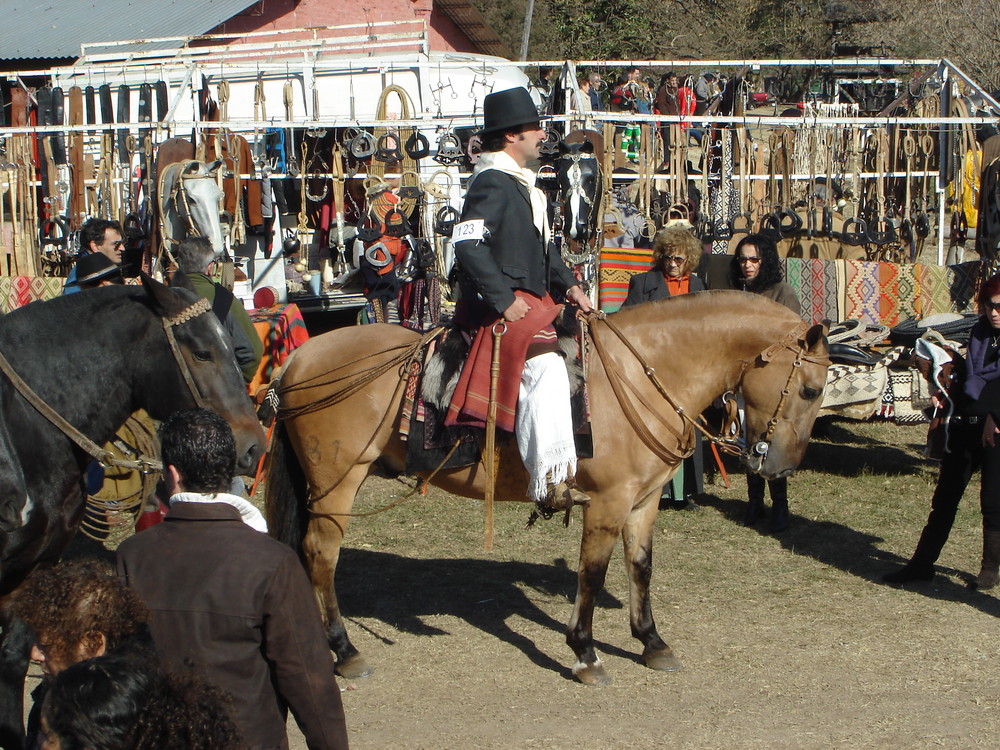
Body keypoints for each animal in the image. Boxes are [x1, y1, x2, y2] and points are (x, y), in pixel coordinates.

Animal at [264, 292, 828, 688]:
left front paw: (651, 641)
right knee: (321, 554)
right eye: (810, 389)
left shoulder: (643, 502)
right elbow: (592, 575)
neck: (639, 372)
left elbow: (640, 568)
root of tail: (298, 360)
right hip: (337, 485)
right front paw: (584, 652)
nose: (780, 468)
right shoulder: (607, 503)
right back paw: (345, 650)